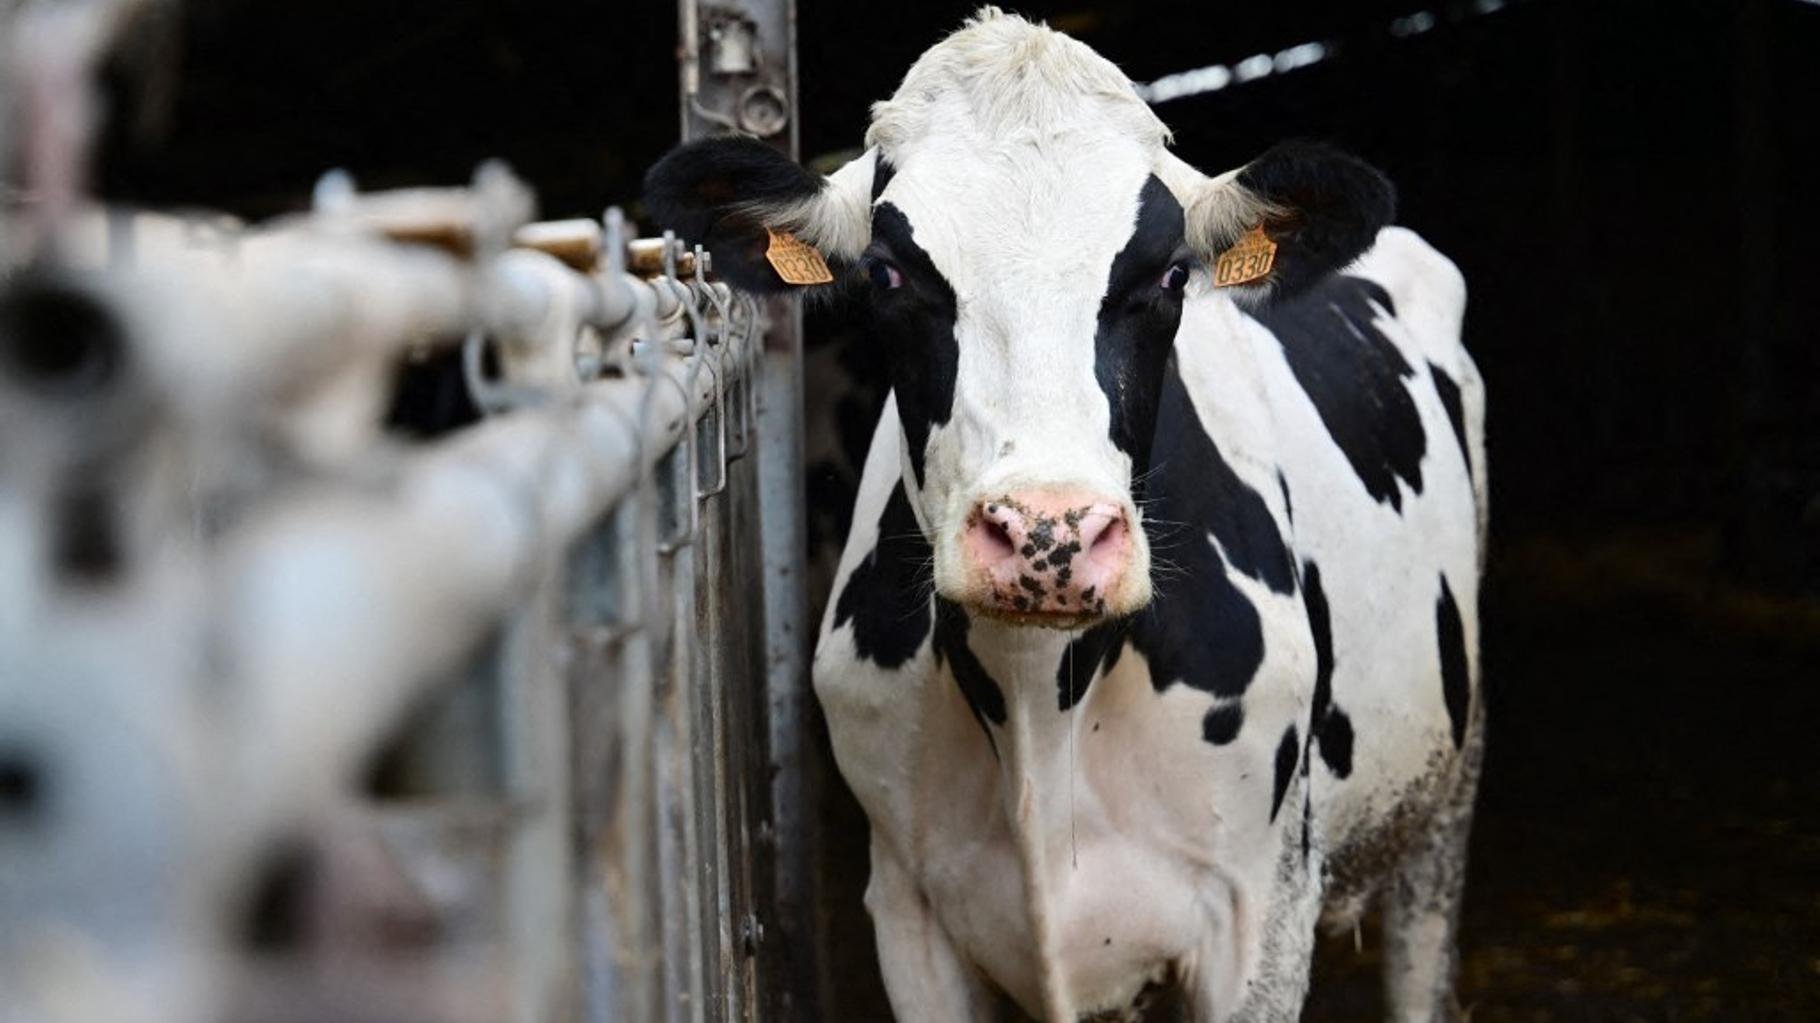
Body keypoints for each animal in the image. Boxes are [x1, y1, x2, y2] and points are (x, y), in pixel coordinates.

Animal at [646, 9, 1486, 1020]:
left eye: (1170, 277)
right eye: (887, 274)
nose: (1049, 534)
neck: (1035, 702)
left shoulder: (1262, 913)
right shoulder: (911, 915)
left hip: (1444, 796)